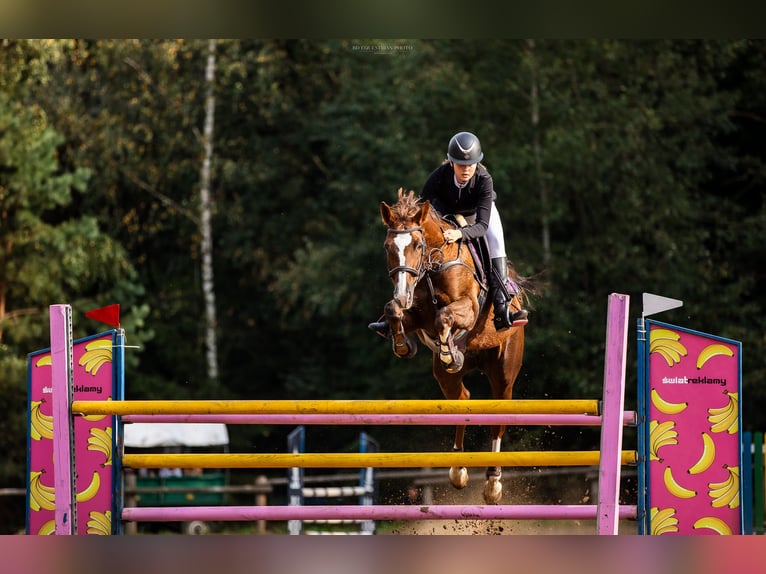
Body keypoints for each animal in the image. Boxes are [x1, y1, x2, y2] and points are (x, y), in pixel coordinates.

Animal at [380, 189, 536, 504]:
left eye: (417, 244)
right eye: (388, 246)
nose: (402, 293)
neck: (434, 263)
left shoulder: (469, 308)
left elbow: (444, 315)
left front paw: (448, 349)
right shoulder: (416, 314)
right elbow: (394, 311)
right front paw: (403, 344)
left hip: (504, 371)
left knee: (498, 415)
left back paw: (493, 484)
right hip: (446, 379)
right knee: (462, 398)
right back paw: (458, 470)